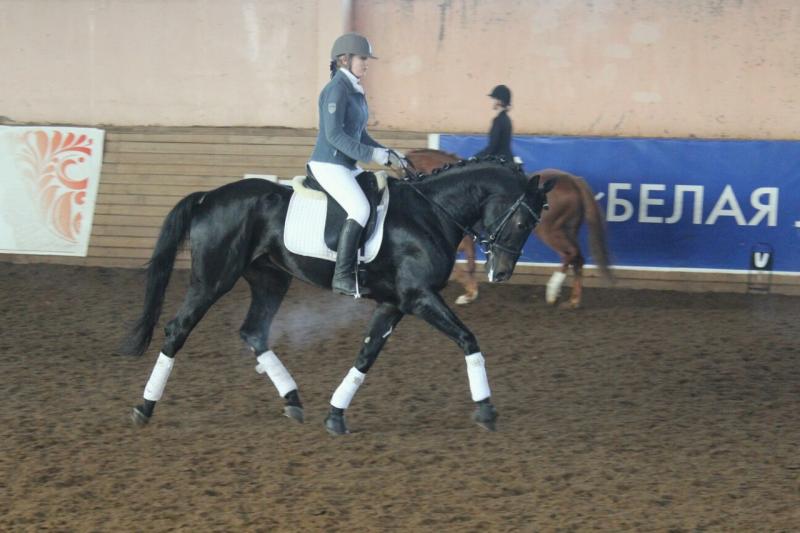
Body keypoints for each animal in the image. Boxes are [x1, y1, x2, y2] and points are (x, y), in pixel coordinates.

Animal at [119, 158, 555, 435]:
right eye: (522, 221)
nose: (502, 273)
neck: (431, 213)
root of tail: (208, 197)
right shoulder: (418, 297)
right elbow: (468, 340)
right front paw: (486, 410)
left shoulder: (394, 303)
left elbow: (366, 354)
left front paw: (335, 414)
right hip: (212, 280)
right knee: (177, 330)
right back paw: (144, 407)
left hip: (270, 279)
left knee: (254, 333)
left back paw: (293, 400)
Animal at [403, 149, 611, 308]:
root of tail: (574, 179)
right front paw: (470, 291)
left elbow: (463, 265)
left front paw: (469, 294)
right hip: (569, 229)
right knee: (577, 257)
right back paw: (573, 299)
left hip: (551, 232)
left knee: (570, 254)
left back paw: (553, 292)